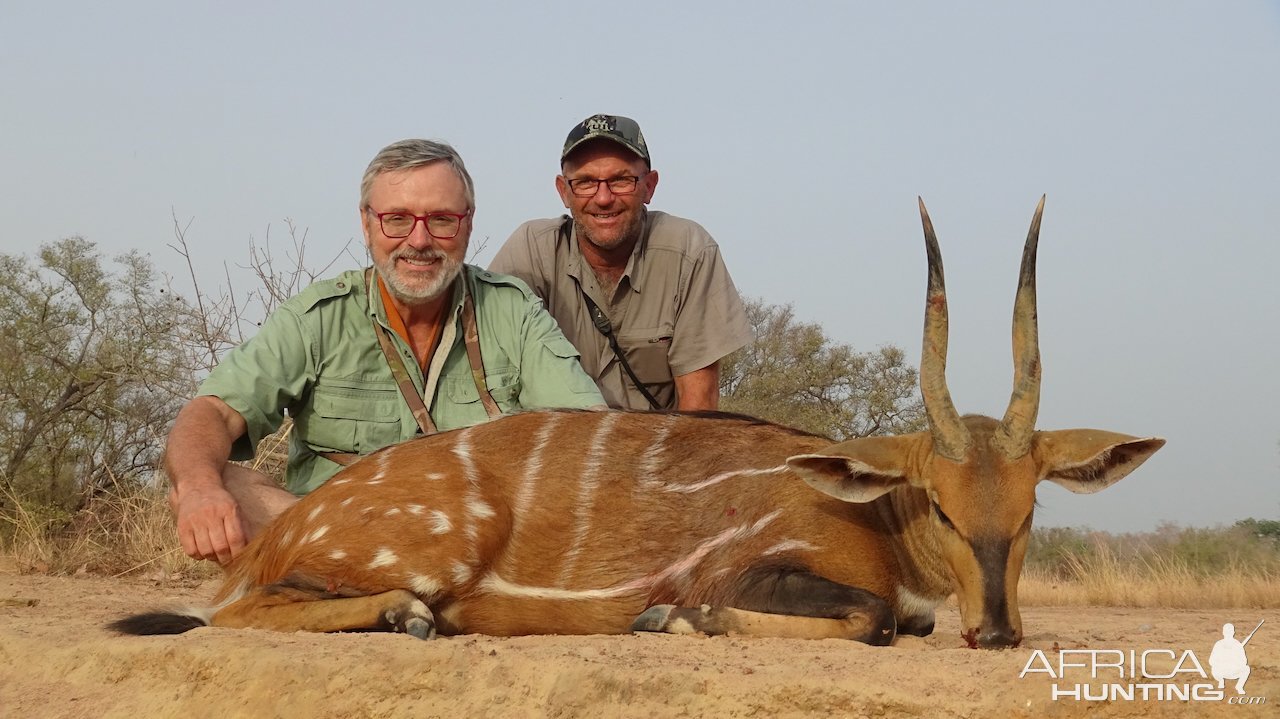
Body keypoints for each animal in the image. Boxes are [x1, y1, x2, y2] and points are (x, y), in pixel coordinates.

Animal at [115, 195, 1167, 644]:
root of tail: (287, 525)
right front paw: (669, 619)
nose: (999, 632)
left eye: (1029, 514)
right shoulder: (746, 569)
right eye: (943, 505)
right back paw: (409, 616)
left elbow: (901, 618)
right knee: (238, 610)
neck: (866, 510)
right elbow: (872, 620)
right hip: (427, 550)